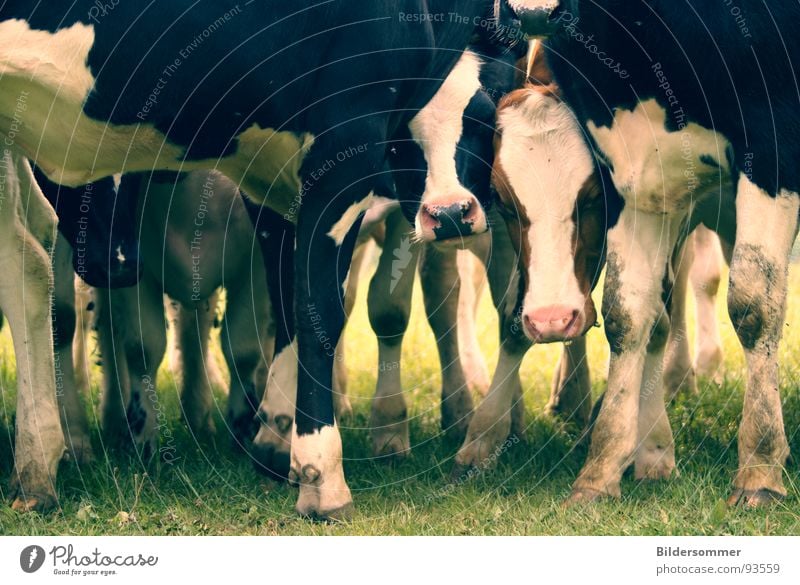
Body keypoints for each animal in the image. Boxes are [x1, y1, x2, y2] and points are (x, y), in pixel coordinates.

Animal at [1, 1, 536, 516]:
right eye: (404, 138)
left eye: (486, 118)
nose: (449, 214)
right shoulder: (344, 142)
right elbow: (310, 310)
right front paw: (317, 474)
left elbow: (304, 309)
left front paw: (282, 437)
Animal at [516, 1, 796, 506]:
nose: (533, 13)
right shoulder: (632, 172)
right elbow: (625, 314)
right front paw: (600, 471)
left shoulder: (774, 144)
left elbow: (753, 306)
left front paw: (760, 468)